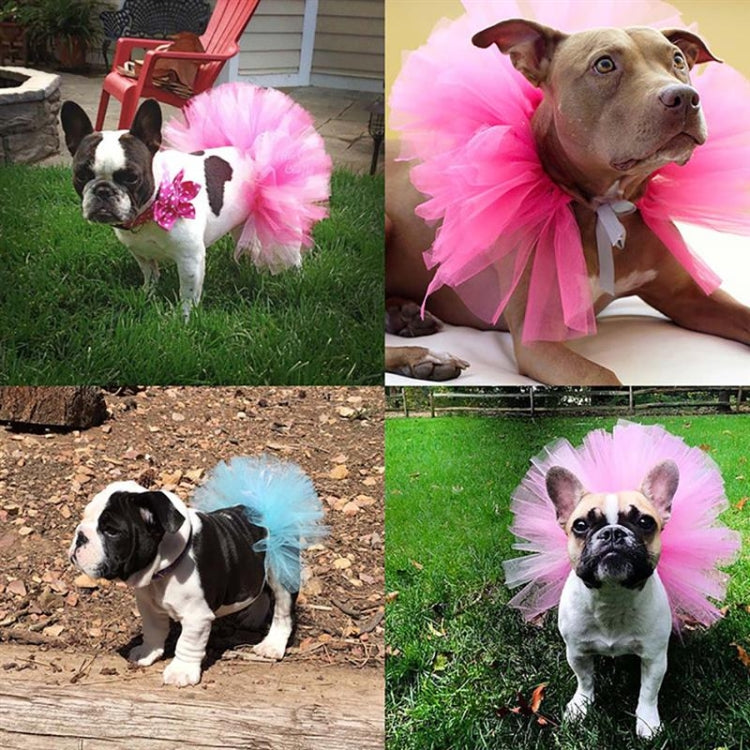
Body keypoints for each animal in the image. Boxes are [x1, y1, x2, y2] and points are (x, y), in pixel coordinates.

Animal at [69, 482, 296, 688]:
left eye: (111, 531)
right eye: (84, 518)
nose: (80, 536)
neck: (164, 569)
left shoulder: (197, 617)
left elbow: (188, 643)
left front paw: (181, 672)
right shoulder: (149, 607)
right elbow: (153, 630)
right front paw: (147, 652)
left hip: (281, 573)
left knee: (282, 611)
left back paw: (272, 645)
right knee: (261, 589)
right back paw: (253, 618)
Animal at [388, 20, 750, 384]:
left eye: (677, 60)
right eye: (604, 64)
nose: (685, 97)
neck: (605, 208)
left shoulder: (688, 297)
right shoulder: (539, 340)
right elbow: (603, 378)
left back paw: (404, 315)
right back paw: (422, 356)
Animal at [548, 462, 680, 736]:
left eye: (645, 521)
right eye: (580, 525)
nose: (612, 533)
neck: (612, 596)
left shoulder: (654, 657)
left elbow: (649, 692)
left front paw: (648, 723)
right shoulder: (576, 651)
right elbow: (584, 680)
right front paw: (580, 706)